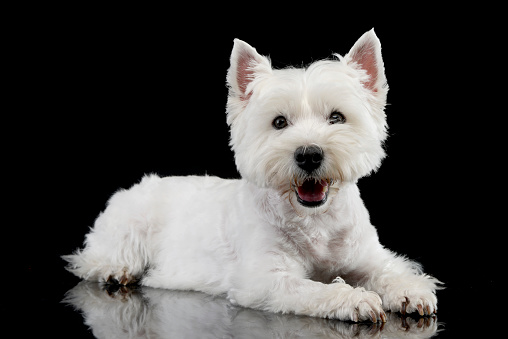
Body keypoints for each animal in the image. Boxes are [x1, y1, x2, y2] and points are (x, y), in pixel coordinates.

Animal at [63, 28, 440, 322]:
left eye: (337, 117)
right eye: (279, 122)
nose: (309, 155)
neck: (314, 220)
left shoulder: (367, 256)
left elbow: (389, 269)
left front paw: (411, 291)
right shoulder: (265, 279)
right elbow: (311, 288)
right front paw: (355, 299)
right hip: (130, 225)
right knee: (94, 258)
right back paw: (116, 271)